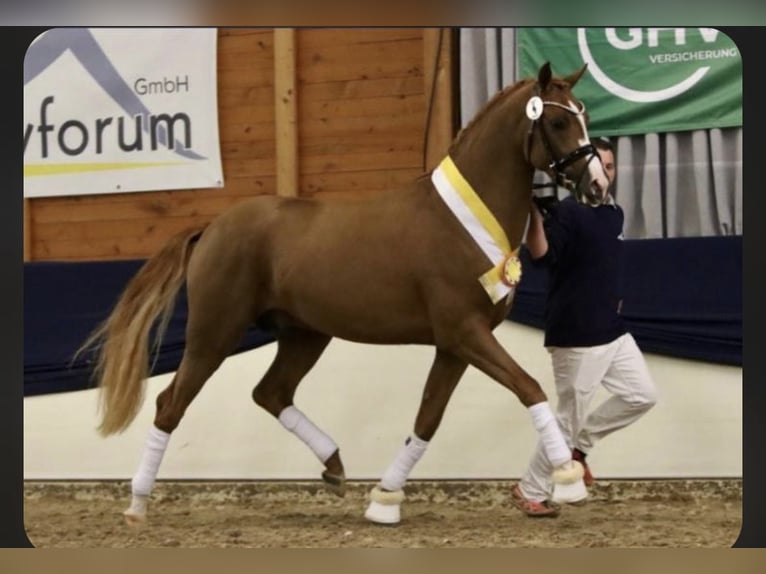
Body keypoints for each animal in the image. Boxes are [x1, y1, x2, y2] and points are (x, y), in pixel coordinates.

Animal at [78, 62, 609, 526]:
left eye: (583, 113)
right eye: (558, 120)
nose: (598, 186)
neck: (464, 223)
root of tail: (211, 228)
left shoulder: (454, 345)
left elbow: (427, 419)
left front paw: (384, 501)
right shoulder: (466, 333)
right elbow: (529, 387)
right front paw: (568, 480)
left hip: (304, 335)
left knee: (270, 392)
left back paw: (333, 466)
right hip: (214, 334)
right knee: (171, 403)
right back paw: (137, 507)